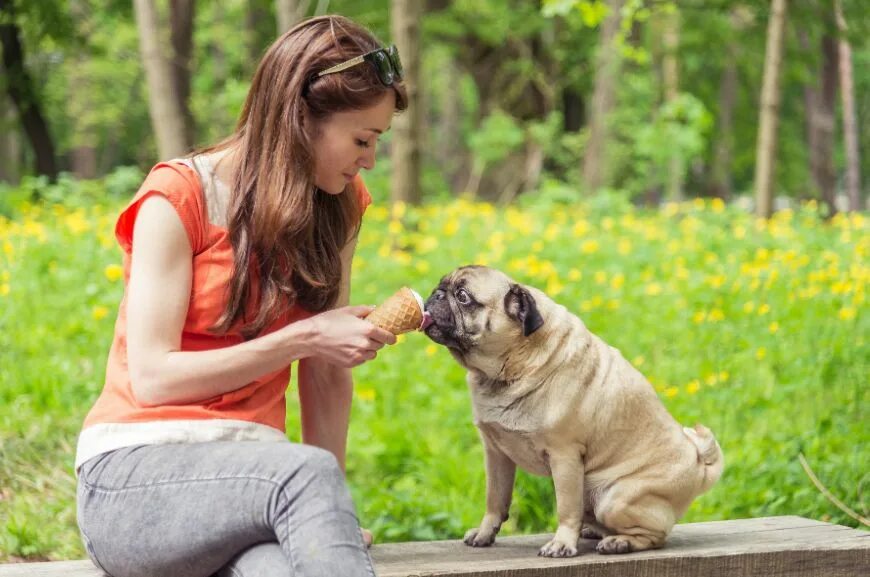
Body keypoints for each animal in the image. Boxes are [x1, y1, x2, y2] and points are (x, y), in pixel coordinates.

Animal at [426, 264, 724, 556]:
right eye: (442, 285)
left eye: (463, 296)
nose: (435, 294)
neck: (509, 367)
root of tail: (699, 468)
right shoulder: (496, 454)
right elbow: (495, 501)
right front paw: (485, 533)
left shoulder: (565, 456)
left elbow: (567, 509)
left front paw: (562, 543)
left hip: (615, 499)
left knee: (654, 536)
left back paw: (619, 542)